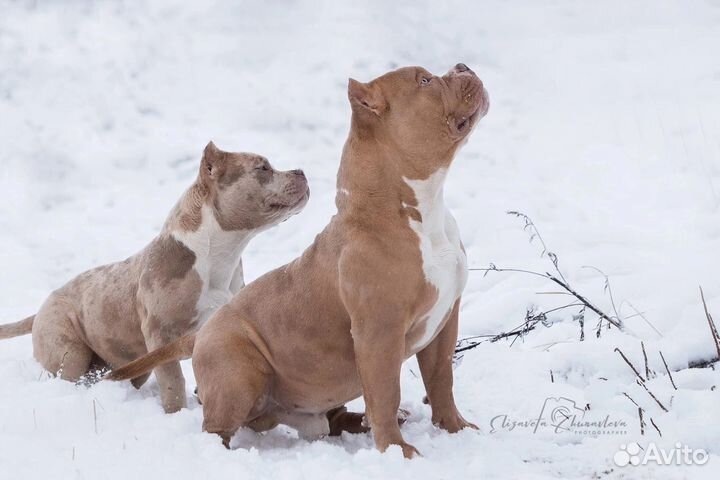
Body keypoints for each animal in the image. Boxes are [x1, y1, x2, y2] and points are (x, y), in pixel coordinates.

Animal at [0, 142, 306, 412]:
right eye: (263, 168)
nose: (301, 171)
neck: (217, 255)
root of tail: (41, 307)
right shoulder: (160, 334)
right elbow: (173, 381)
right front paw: (177, 412)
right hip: (67, 346)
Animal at [108, 64, 490, 458]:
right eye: (425, 81)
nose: (463, 67)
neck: (417, 212)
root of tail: (199, 335)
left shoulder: (445, 322)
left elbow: (441, 379)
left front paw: (455, 428)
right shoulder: (378, 332)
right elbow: (385, 393)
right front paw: (397, 451)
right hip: (239, 369)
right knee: (216, 427)